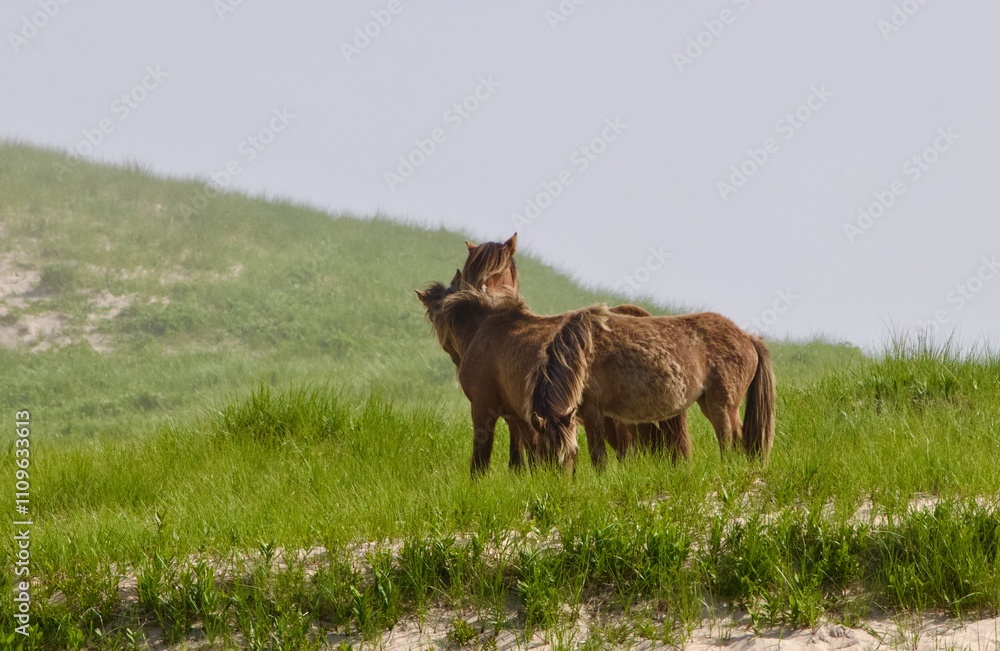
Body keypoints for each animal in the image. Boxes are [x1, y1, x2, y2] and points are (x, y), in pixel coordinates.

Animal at [529, 308, 776, 469]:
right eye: (544, 454)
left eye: (572, 452)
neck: (583, 351)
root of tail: (748, 338)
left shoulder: (594, 413)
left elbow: (599, 457)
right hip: (709, 404)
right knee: (740, 437)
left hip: (722, 407)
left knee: (729, 439)